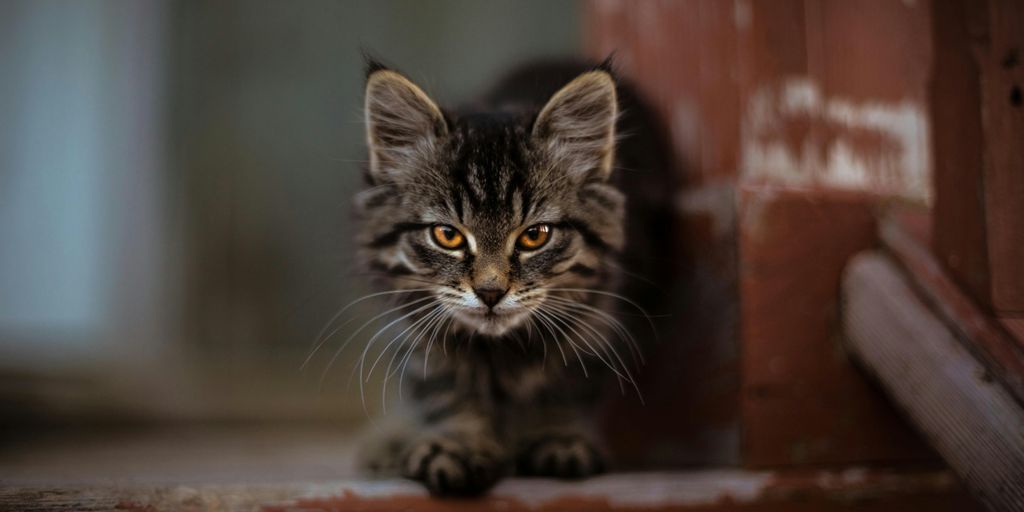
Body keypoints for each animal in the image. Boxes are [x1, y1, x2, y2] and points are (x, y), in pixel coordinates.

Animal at [352, 57, 671, 495]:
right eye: (447, 235)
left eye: (535, 236)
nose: (490, 291)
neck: (499, 351)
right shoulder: (416, 325)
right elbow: (444, 387)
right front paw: (461, 443)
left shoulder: (603, 315)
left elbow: (569, 381)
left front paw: (556, 435)